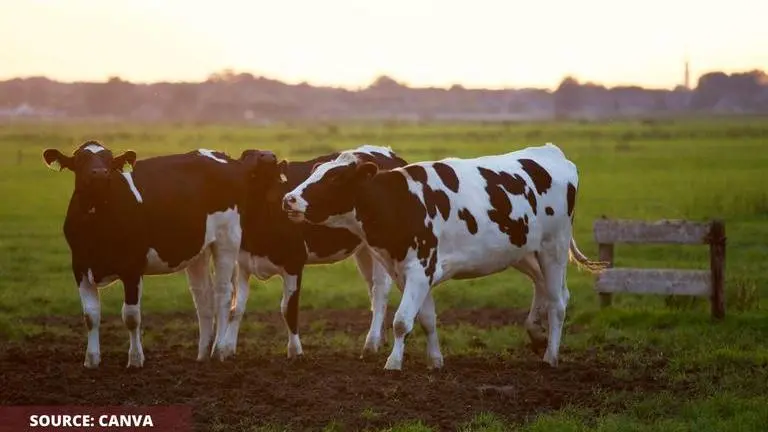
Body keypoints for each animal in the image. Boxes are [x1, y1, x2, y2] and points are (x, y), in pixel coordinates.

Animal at [42, 141, 243, 368]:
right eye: (80, 159)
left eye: (110, 161)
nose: (100, 173)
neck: (97, 224)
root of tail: (219, 155)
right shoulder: (80, 266)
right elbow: (90, 315)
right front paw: (91, 360)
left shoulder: (132, 267)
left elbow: (131, 316)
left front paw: (136, 359)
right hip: (198, 250)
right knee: (203, 297)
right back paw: (202, 354)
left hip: (227, 240)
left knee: (223, 294)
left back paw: (218, 351)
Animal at [217, 145, 408, 360]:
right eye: (247, 158)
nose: (268, 156)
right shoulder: (243, 264)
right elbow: (236, 308)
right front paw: (227, 348)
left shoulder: (294, 263)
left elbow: (288, 309)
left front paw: (295, 351)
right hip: (365, 251)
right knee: (372, 289)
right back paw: (380, 338)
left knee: (380, 290)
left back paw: (371, 343)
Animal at [282, 143, 607, 370]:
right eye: (315, 172)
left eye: (335, 178)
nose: (289, 199)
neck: (400, 202)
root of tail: (551, 153)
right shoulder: (412, 273)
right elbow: (426, 319)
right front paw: (435, 360)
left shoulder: (419, 269)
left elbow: (401, 321)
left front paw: (393, 363)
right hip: (523, 251)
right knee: (544, 287)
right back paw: (536, 334)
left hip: (554, 248)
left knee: (558, 302)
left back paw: (551, 355)